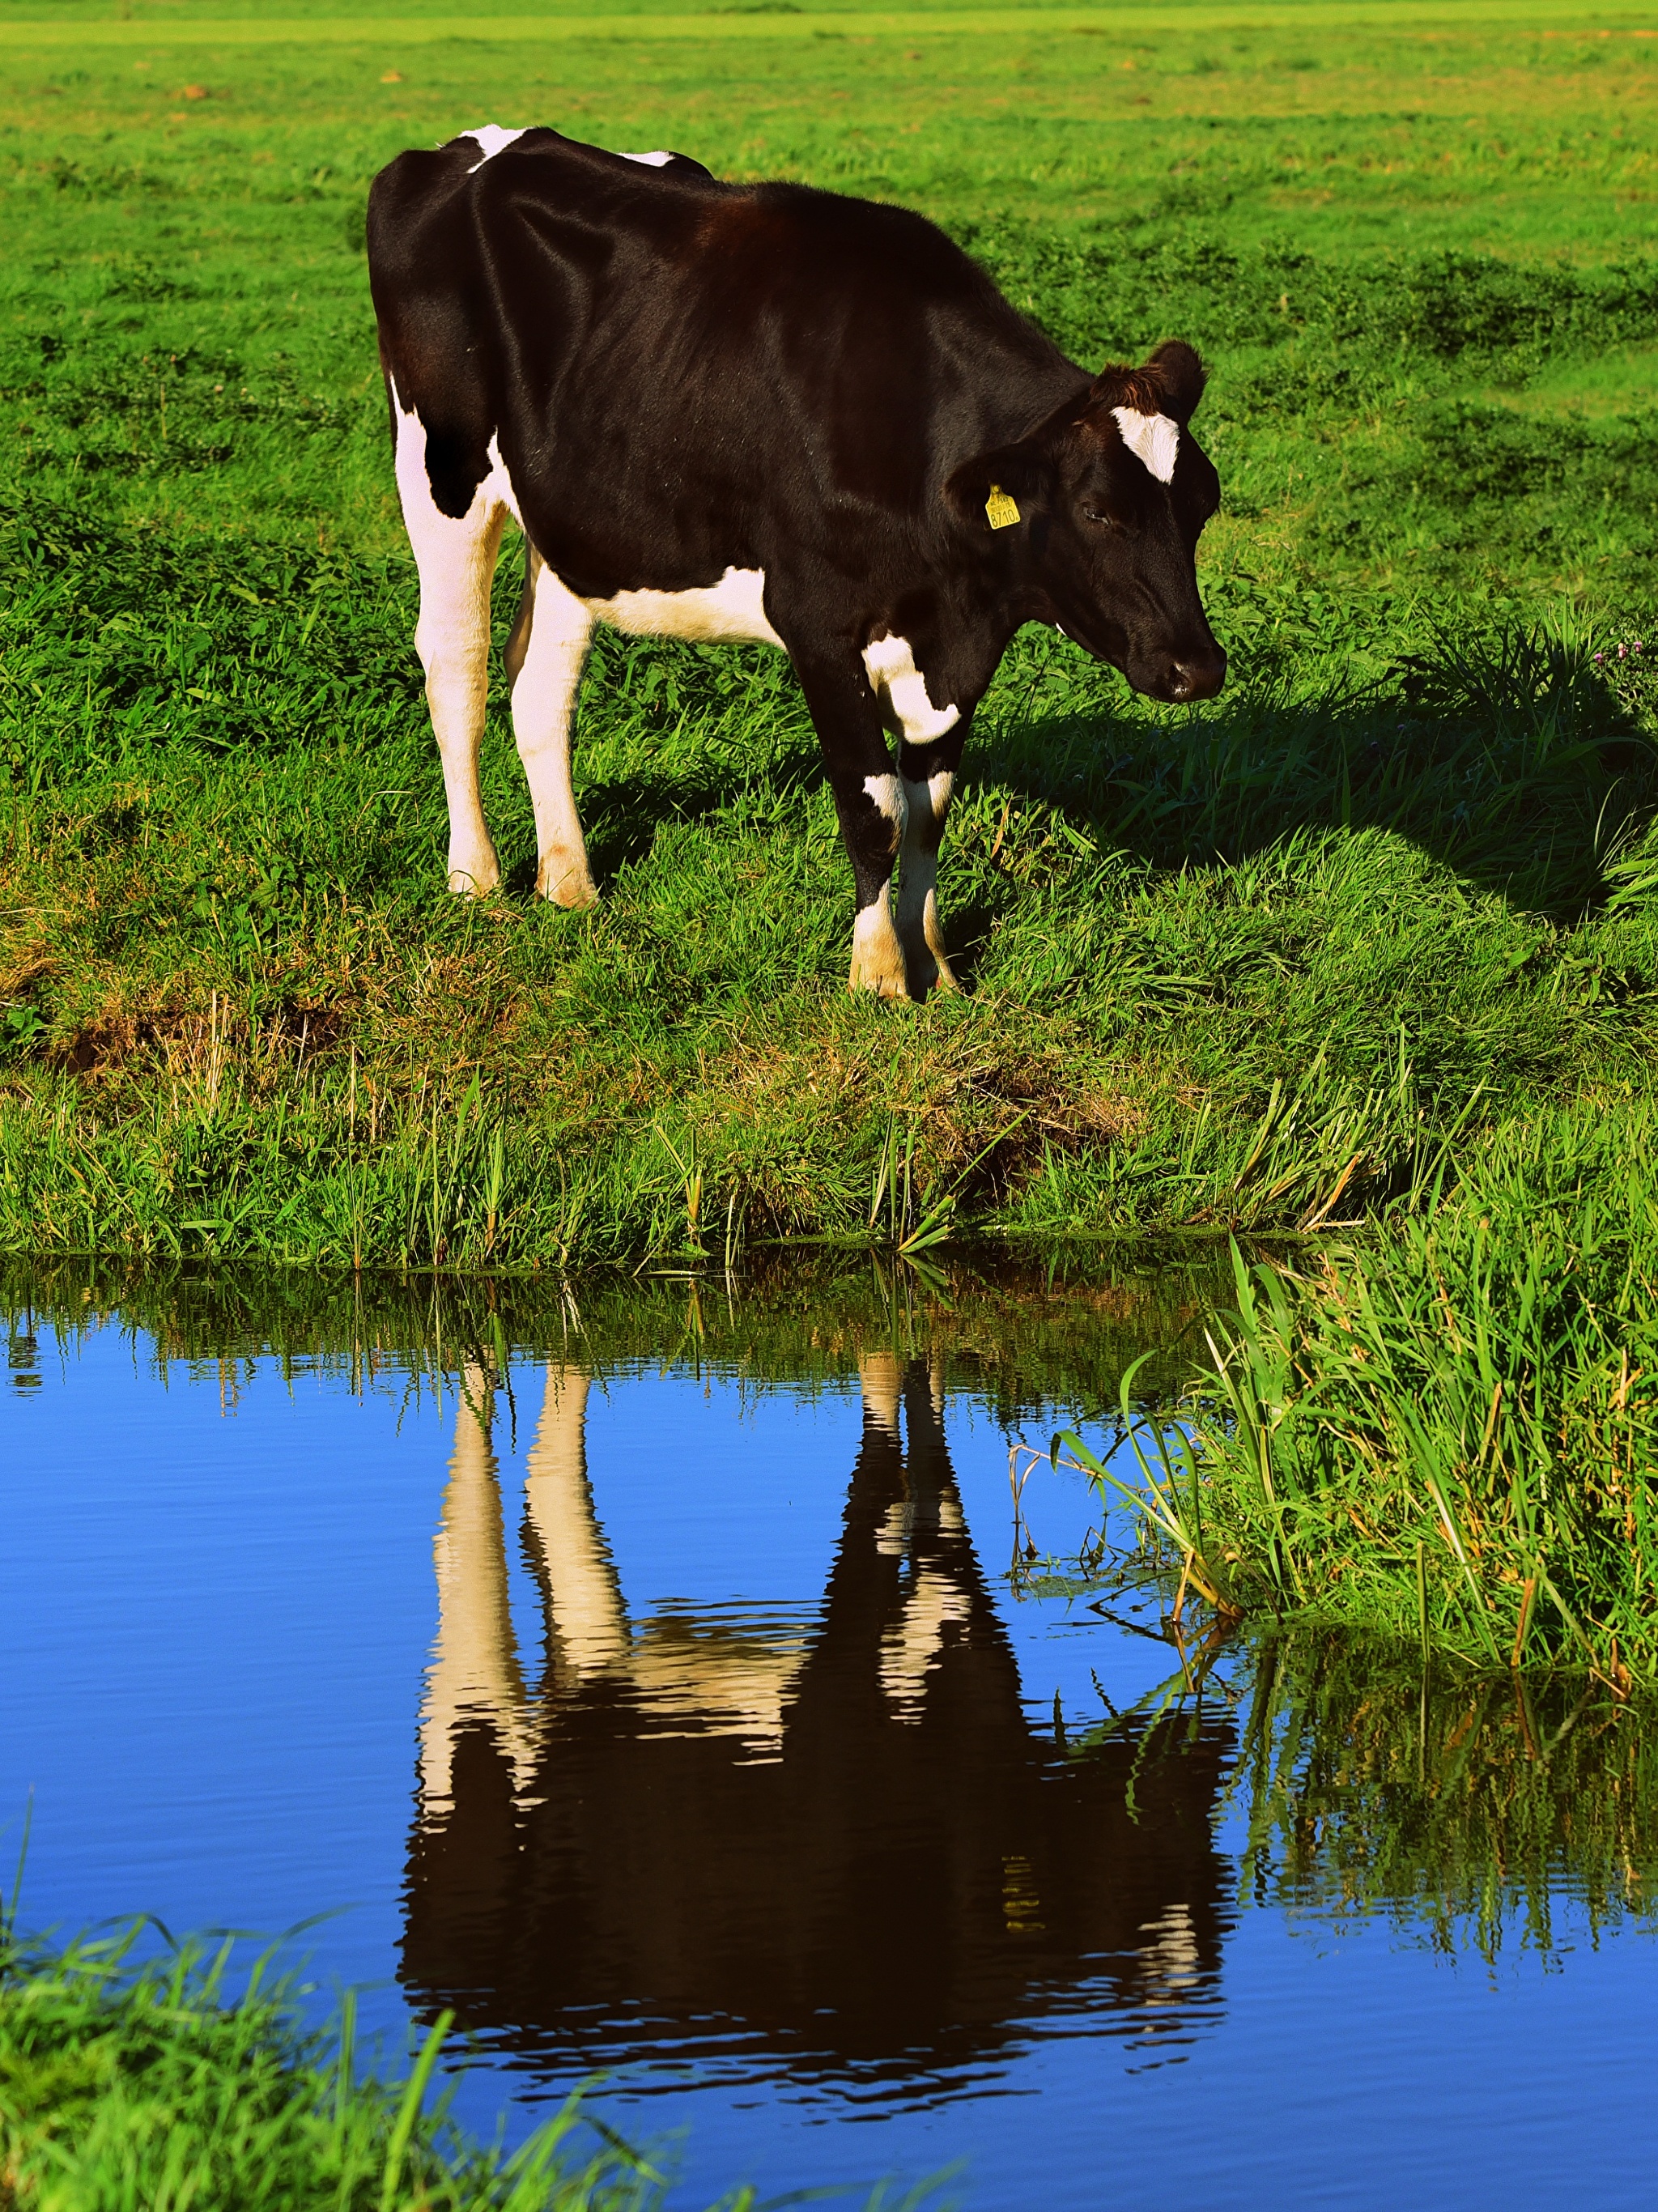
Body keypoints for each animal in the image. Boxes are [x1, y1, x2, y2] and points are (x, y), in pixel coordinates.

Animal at [369, 118, 1229, 986]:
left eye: (1203, 504)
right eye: (1097, 510)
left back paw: (570, 882)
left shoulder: (960, 642)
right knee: (457, 666)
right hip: (441, 470)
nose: (1198, 668)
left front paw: (936, 967)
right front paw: (879, 976)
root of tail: (475, 144)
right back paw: (475, 878)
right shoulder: (817, 624)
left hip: (573, 522)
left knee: (541, 682)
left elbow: (930, 808)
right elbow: (876, 804)